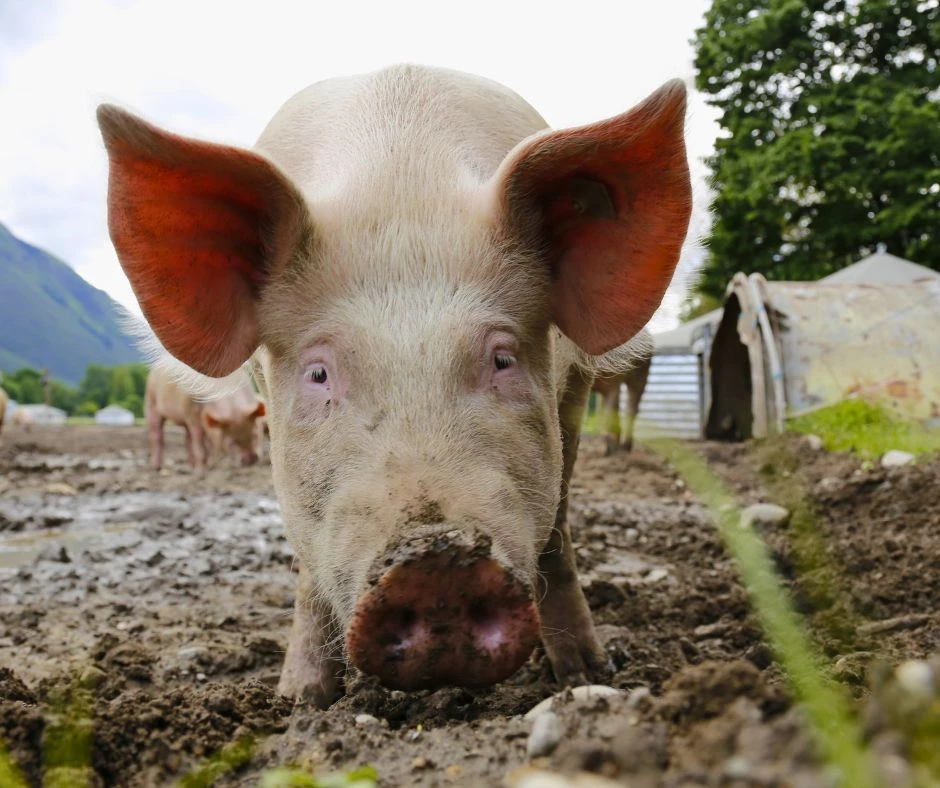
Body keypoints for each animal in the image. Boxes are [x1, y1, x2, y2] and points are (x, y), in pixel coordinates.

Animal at [99, 64, 692, 708]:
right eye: (318, 373)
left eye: (503, 358)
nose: (434, 560)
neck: (402, 188)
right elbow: (308, 567)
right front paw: (301, 700)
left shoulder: (574, 386)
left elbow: (557, 532)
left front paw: (587, 677)